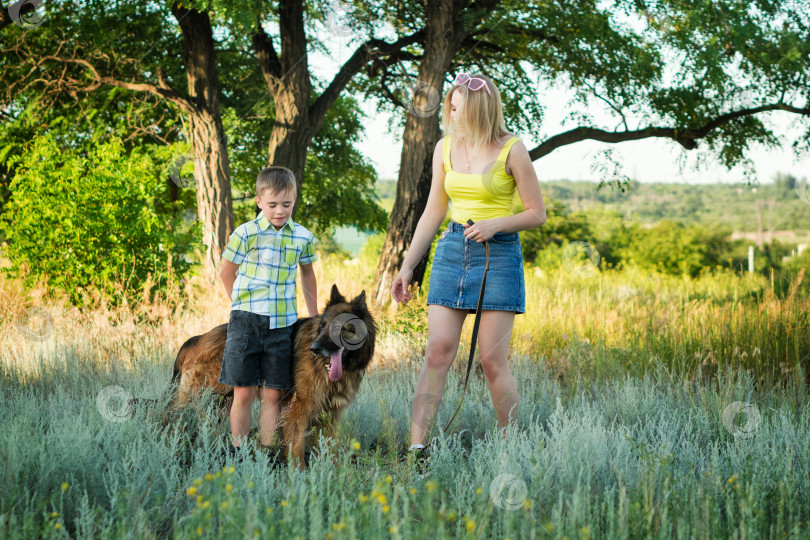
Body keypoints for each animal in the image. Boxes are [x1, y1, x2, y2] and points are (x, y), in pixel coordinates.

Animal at [169, 286, 378, 468]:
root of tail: (197, 338)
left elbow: (328, 447)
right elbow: (297, 446)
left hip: (221, 404)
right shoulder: (299, 409)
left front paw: (330, 471)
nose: (314, 349)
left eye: (338, 327)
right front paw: (298, 473)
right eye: (322, 327)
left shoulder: (331, 414)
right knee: (173, 419)